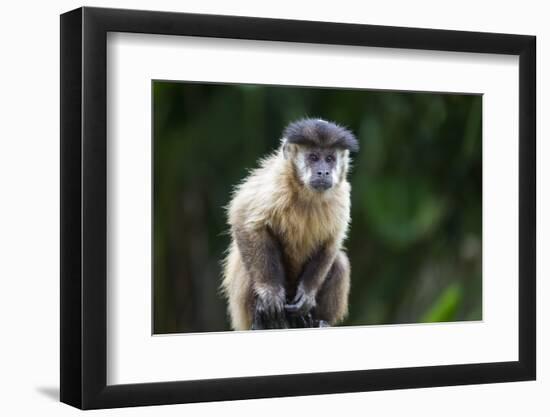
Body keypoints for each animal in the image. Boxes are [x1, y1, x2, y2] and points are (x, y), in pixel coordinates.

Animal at [222, 118, 360, 330]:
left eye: (329, 159)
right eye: (313, 157)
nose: (323, 171)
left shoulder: (342, 194)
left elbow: (332, 242)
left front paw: (308, 294)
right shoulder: (275, 182)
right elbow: (243, 219)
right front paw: (270, 293)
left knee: (340, 262)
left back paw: (316, 321)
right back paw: (263, 320)